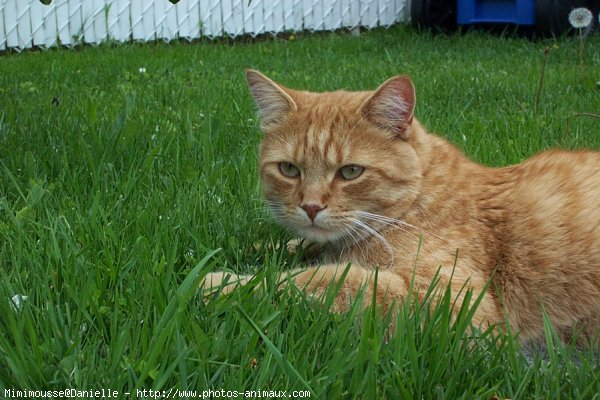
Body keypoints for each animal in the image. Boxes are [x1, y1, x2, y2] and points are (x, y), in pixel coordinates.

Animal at [202, 70, 600, 342]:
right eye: (288, 169)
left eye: (350, 172)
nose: (311, 207)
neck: (419, 196)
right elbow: (300, 248)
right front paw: (256, 248)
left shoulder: (452, 303)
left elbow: (318, 279)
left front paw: (218, 282)